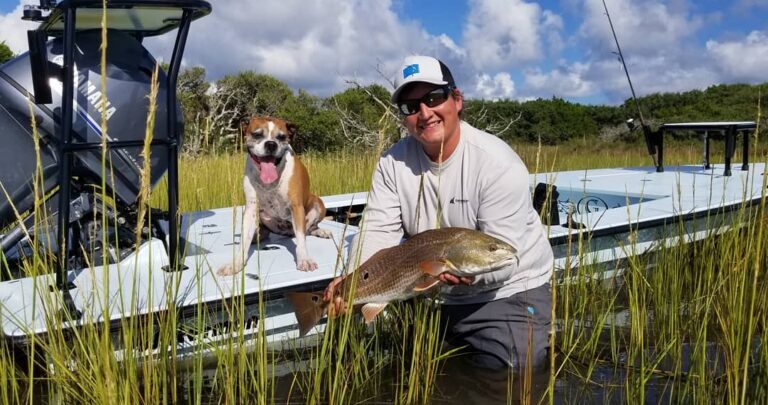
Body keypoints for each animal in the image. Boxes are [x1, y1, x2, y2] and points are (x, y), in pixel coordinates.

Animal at [219, 115, 332, 276]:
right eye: (257, 134)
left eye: (281, 137)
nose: (271, 144)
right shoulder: (251, 209)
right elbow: (244, 242)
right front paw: (236, 264)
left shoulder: (296, 207)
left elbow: (301, 238)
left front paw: (304, 259)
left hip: (318, 204)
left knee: (310, 228)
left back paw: (322, 231)